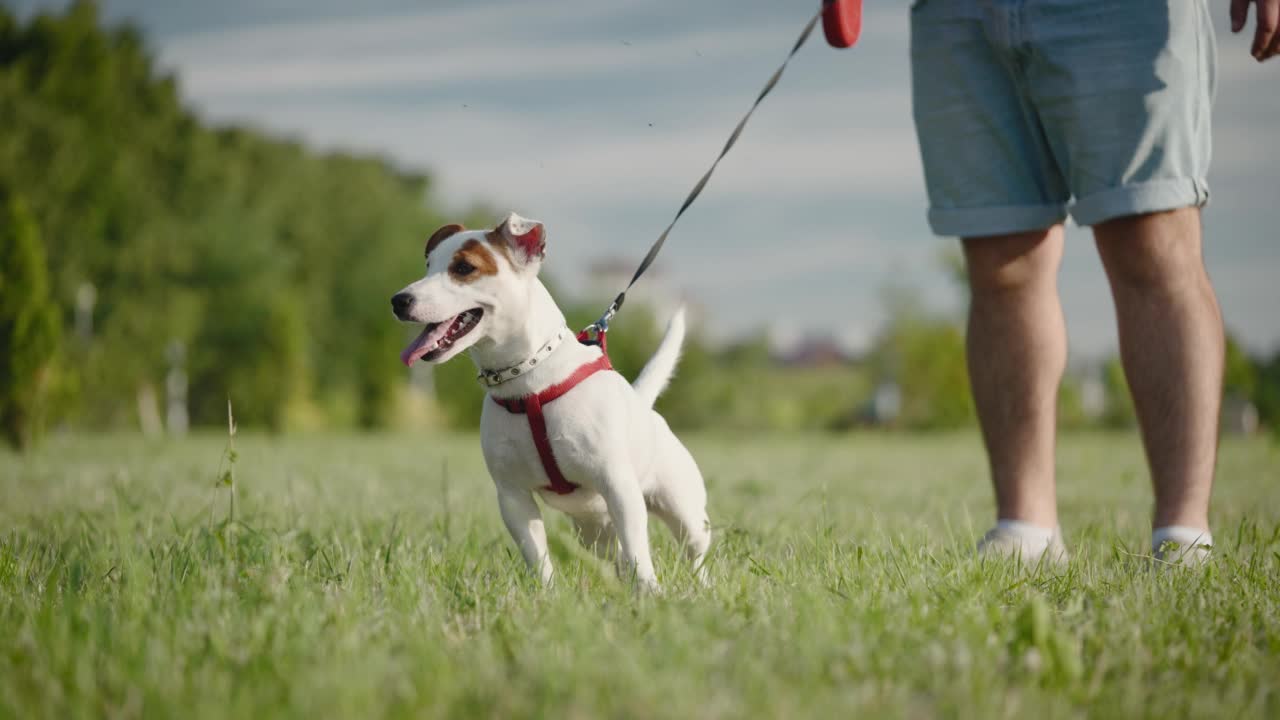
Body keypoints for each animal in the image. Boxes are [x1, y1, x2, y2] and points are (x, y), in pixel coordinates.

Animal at [389, 208, 711, 589]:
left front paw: (649, 591)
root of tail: (642, 402)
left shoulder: (619, 487)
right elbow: (537, 554)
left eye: (464, 268)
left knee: (694, 550)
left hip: (682, 508)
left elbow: (637, 550)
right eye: (428, 264)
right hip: (593, 530)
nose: (399, 300)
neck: (527, 382)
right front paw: (547, 593)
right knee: (614, 553)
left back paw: (702, 586)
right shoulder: (513, 497)